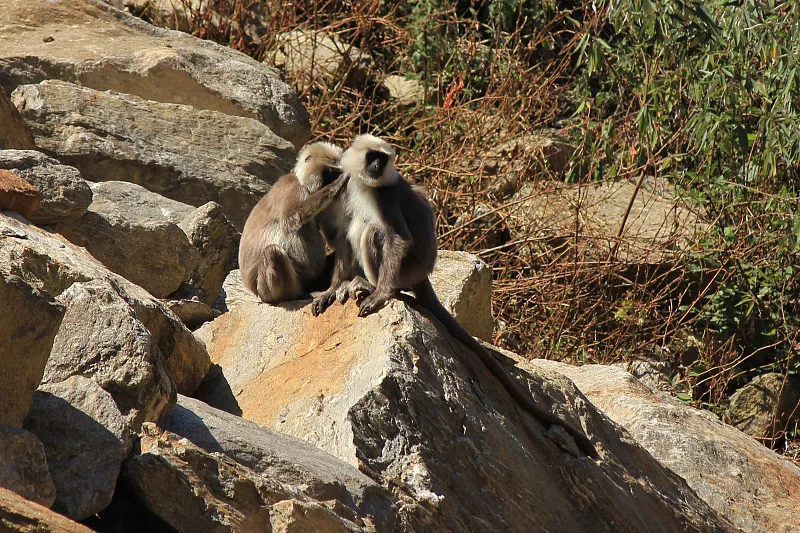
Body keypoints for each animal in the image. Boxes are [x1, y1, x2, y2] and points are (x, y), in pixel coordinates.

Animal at [239, 141, 348, 304]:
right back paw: (298, 295)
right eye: (330, 173)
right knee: (273, 252)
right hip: (266, 290)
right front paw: (335, 187)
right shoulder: (291, 187)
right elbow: (289, 220)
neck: (302, 183)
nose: (336, 177)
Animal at [312, 133, 600, 458]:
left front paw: (381, 294)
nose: (376, 166)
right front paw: (330, 289)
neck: (366, 185)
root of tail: (424, 274)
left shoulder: (384, 198)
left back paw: (372, 285)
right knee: (357, 228)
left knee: (372, 231)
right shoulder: (348, 190)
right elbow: (342, 235)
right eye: (373, 157)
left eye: (382, 159)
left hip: (407, 269)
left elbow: (397, 238)